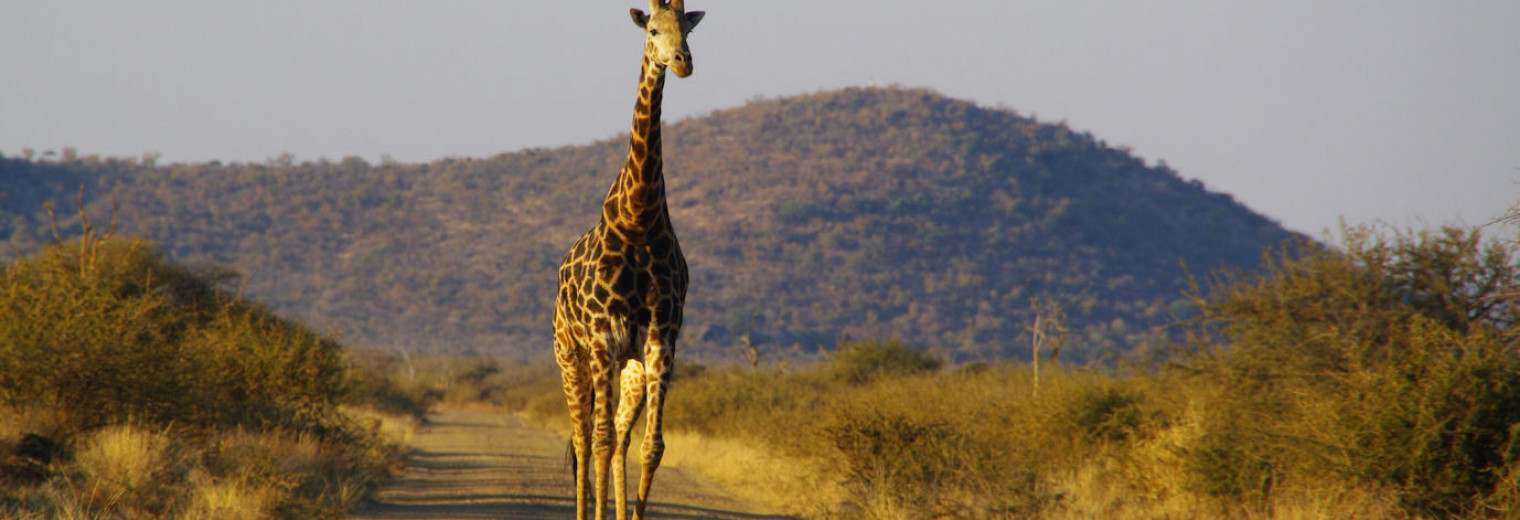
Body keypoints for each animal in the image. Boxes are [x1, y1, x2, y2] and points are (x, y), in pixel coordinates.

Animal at [556, 2, 702, 516]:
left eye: (689, 30)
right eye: (652, 30)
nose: (682, 62)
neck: (639, 218)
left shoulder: (661, 342)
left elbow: (650, 446)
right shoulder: (602, 339)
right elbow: (596, 440)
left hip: (630, 365)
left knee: (618, 437)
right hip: (569, 354)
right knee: (584, 439)